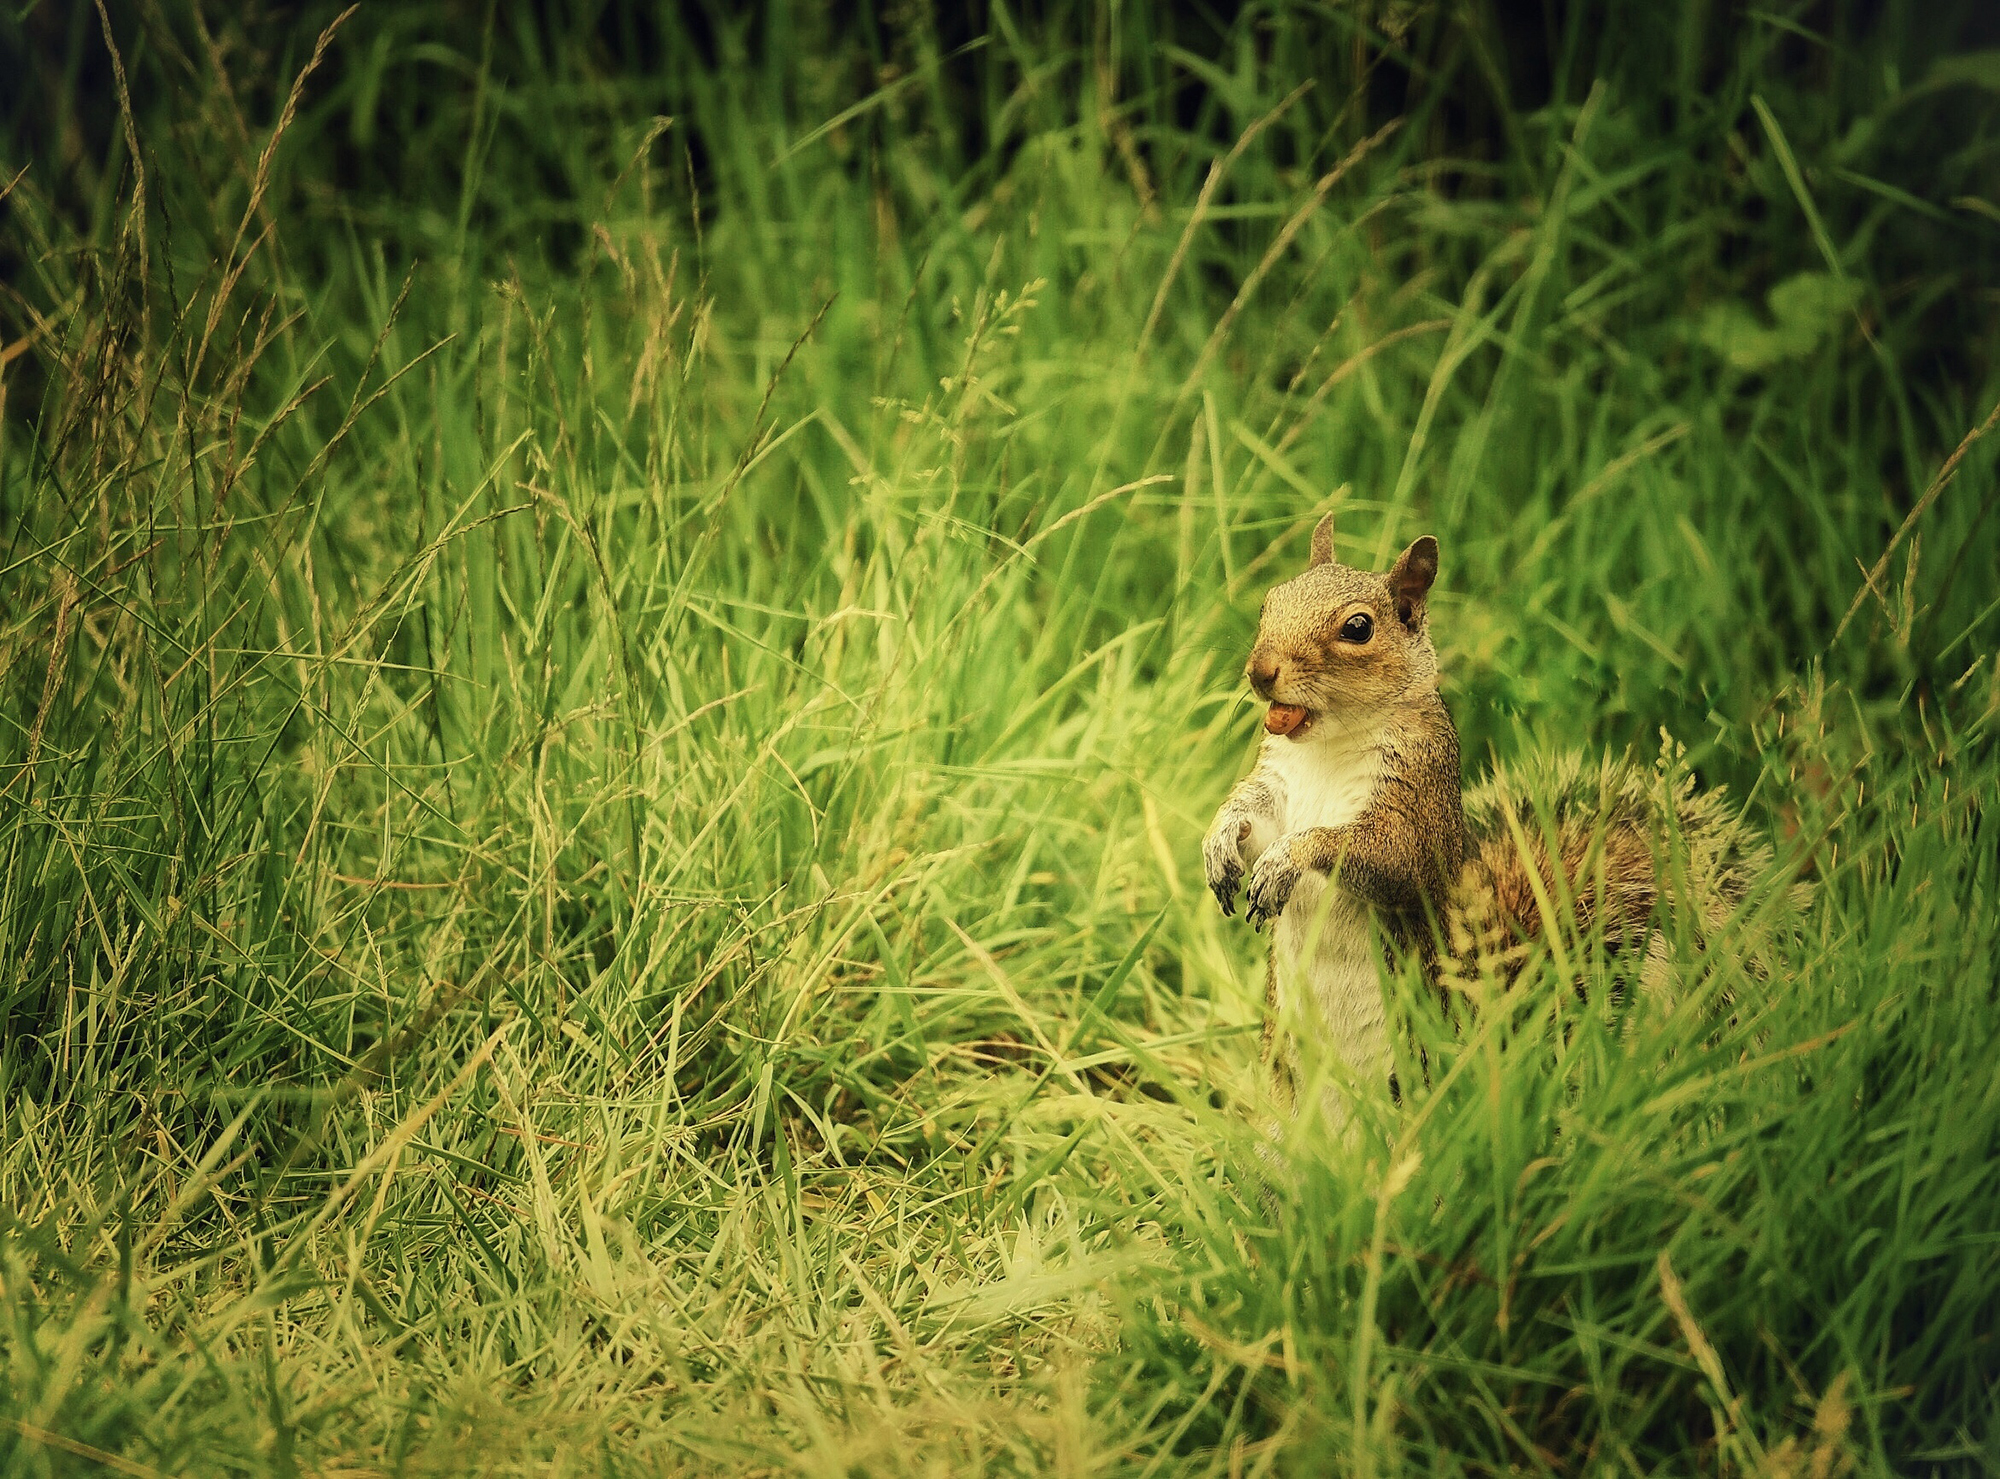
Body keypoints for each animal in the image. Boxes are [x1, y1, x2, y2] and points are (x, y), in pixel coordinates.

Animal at [1200, 511, 1784, 1119]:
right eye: (1269, 601)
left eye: (1358, 628)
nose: (1260, 671)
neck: (1326, 744)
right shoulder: (1279, 784)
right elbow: (1253, 819)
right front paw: (1219, 843)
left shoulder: (1420, 798)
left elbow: (1393, 857)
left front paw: (1288, 859)